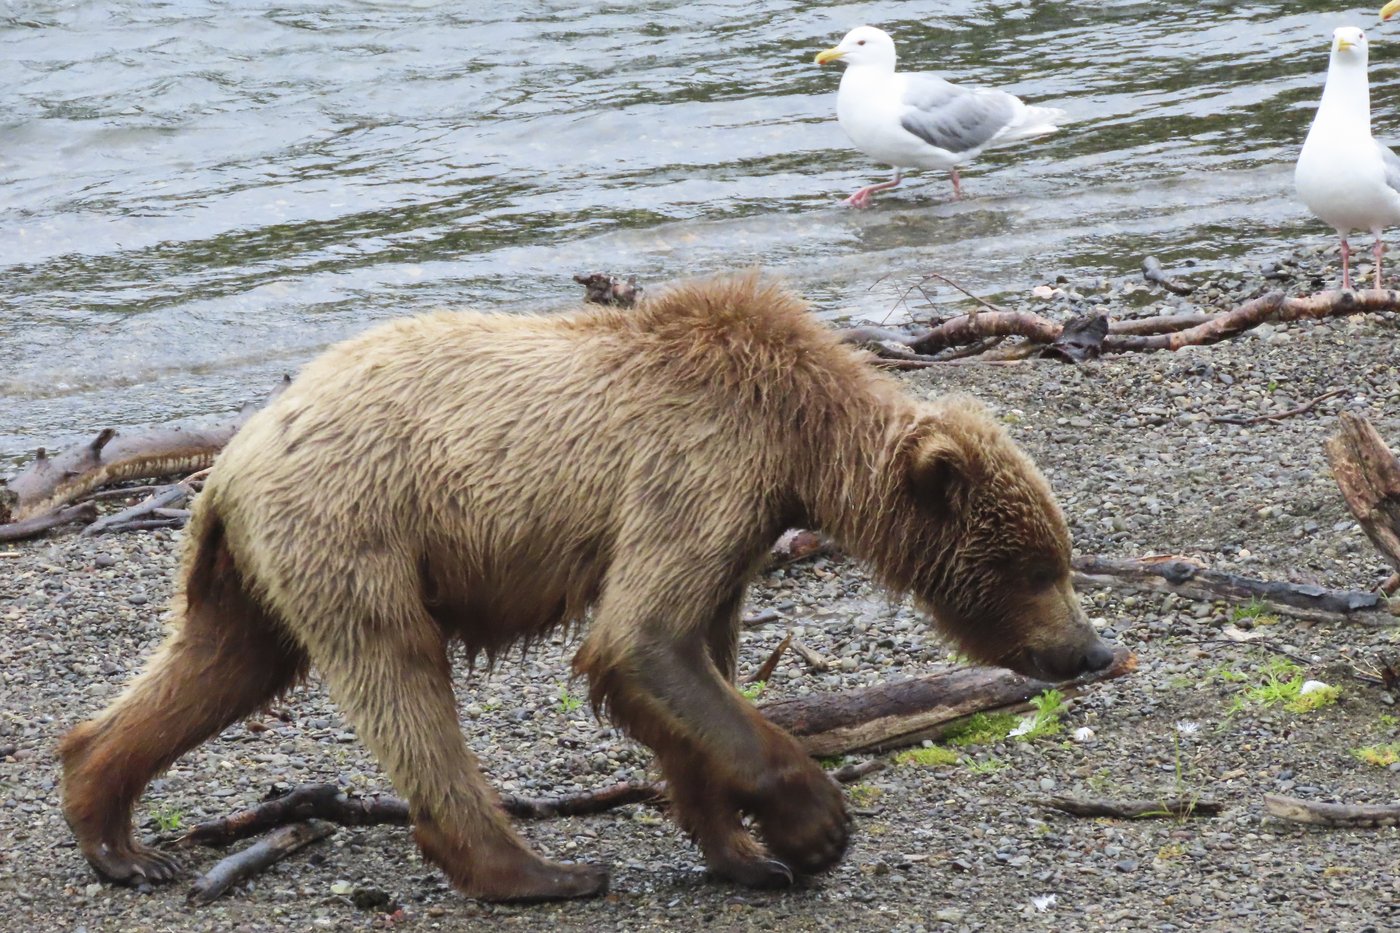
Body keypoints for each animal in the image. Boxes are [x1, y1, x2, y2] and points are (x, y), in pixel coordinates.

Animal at [59, 272, 1114, 902]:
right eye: (1033, 567)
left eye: (1057, 556)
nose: (1089, 648)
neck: (798, 442)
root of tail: (231, 457)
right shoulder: (699, 470)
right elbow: (641, 642)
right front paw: (815, 828)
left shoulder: (736, 531)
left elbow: (685, 668)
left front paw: (744, 851)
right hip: (360, 526)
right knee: (401, 677)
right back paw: (539, 867)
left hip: (253, 566)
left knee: (221, 662)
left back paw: (115, 827)